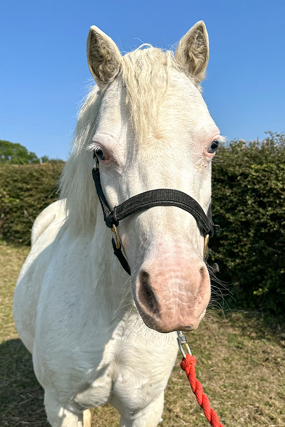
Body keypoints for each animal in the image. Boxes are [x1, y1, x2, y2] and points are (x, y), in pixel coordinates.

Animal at [13, 20, 221, 427]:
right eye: (100, 153)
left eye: (212, 146)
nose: (175, 295)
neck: (116, 320)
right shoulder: (61, 407)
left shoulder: (144, 407)